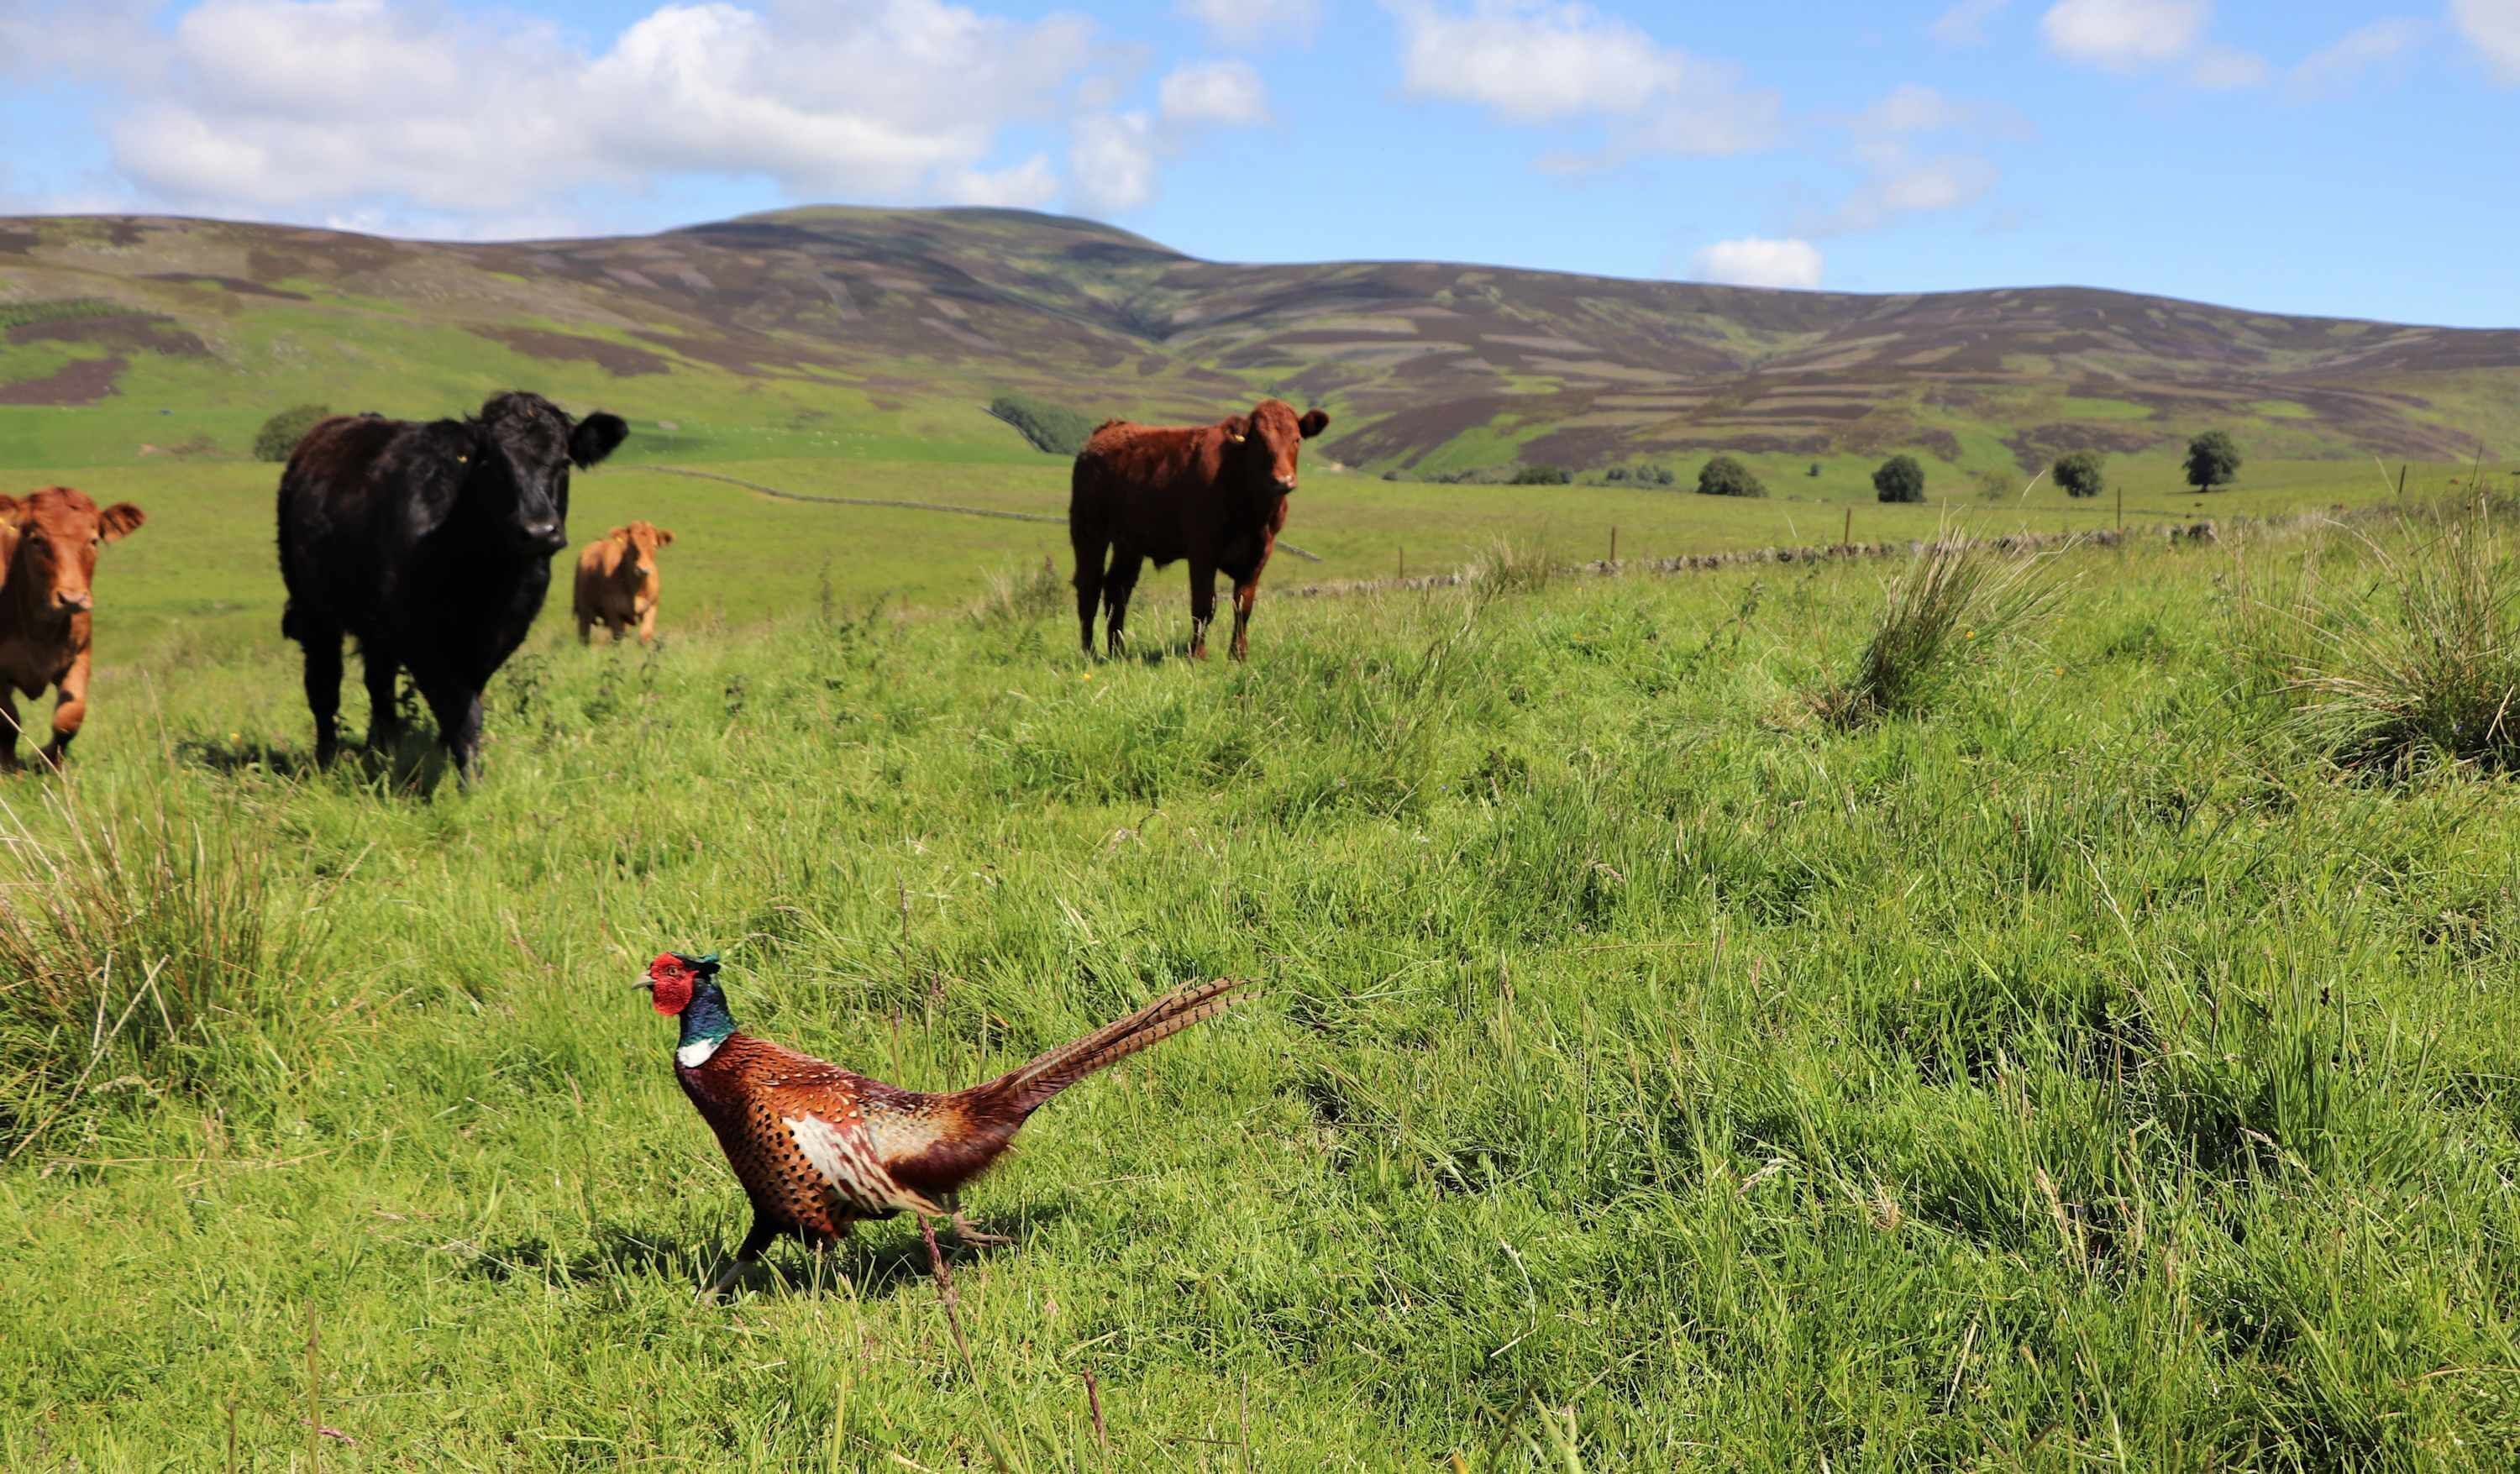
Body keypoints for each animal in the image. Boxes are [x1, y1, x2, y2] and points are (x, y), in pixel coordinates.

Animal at [0, 487, 145, 769]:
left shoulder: (80, 656)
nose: (72, 599)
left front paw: (48, 759)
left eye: (94, 540)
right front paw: (10, 766)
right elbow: (8, 721)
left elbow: (70, 717)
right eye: (36, 539)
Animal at [276, 392, 627, 783]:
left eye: (564, 461)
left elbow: (463, 706)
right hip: (314, 610)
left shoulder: (499, 637)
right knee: (324, 685)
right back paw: (326, 760)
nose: (538, 530)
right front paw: (470, 784)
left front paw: (442, 758)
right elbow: (462, 711)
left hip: (376, 628)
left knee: (379, 683)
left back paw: (382, 750)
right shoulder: (420, 639)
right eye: (491, 464)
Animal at [573, 520, 675, 644]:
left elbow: (645, 635)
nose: (643, 569)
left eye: (655, 545)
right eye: (631, 545)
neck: (637, 590)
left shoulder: (651, 607)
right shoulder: (612, 611)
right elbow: (617, 637)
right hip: (583, 609)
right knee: (584, 635)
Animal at [1068, 398, 1329, 660]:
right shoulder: (1203, 550)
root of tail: (1108, 429)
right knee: (1089, 586)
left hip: (1129, 542)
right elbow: (1204, 605)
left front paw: (1238, 654)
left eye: (1296, 439)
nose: (1283, 480)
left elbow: (1243, 606)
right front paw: (1197, 654)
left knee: (1117, 588)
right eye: (1260, 442)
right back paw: (1089, 651)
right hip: (1089, 530)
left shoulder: (1260, 553)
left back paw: (1118, 651)